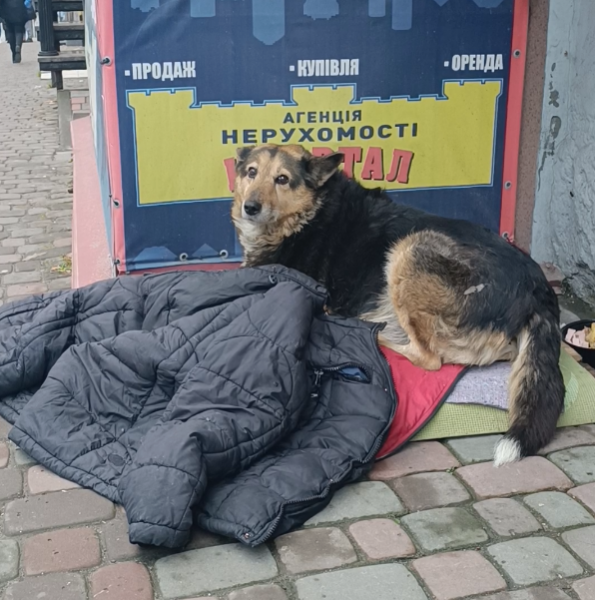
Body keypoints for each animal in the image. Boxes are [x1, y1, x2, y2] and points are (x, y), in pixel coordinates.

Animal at [230, 144, 564, 464]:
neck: (309, 214)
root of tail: (537, 289)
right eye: (251, 172)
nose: (251, 208)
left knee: (430, 358)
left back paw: (371, 330)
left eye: (282, 179)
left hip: (411, 248)